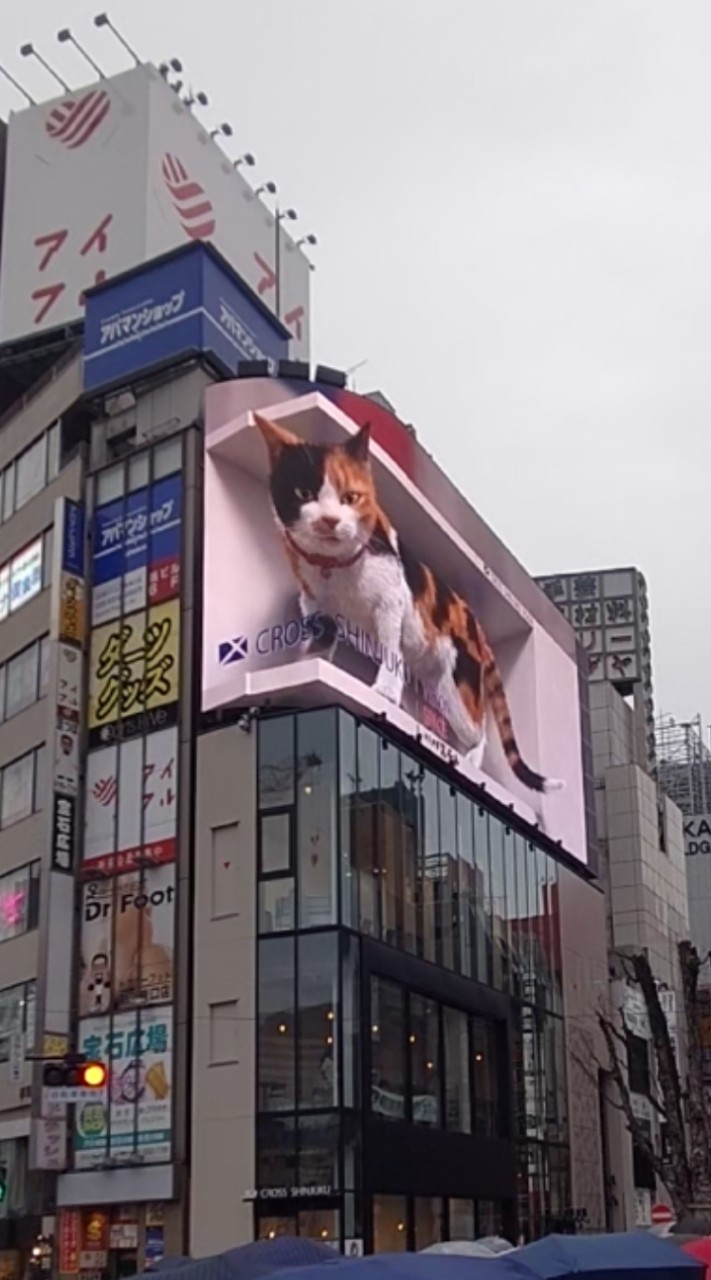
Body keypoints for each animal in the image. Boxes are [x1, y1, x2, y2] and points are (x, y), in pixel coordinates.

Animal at [254, 409, 561, 793]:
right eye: (303, 492)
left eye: (350, 496)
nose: (329, 520)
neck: (335, 567)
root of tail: (476, 625)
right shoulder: (315, 607)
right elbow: (318, 643)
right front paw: (309, 665)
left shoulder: (390, 602)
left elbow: (389, 648)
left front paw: (384, 692)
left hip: (456, 687)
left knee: (479, 732)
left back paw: (470, 764)